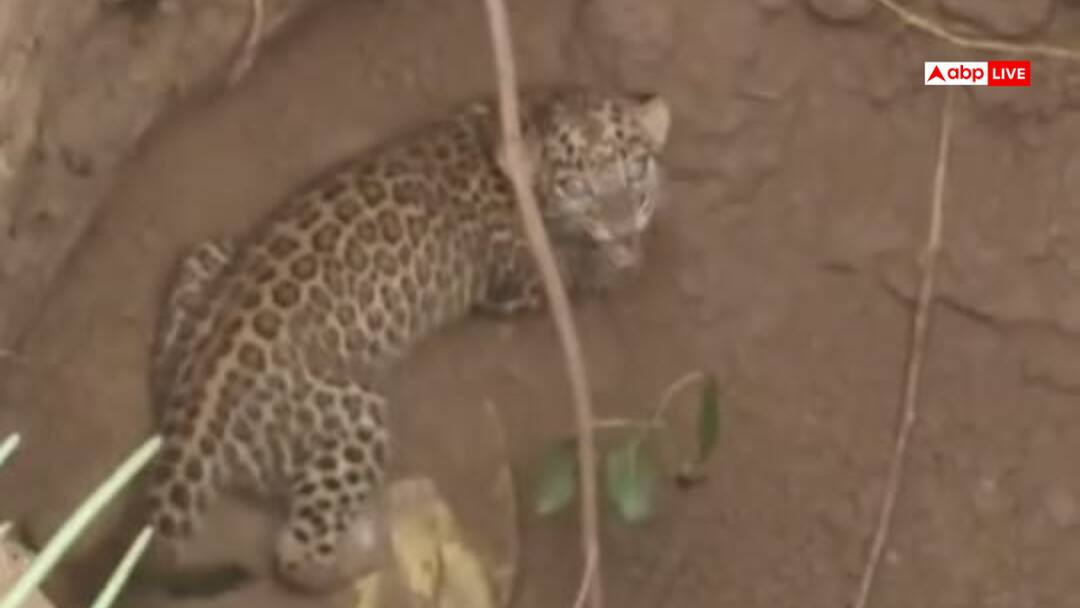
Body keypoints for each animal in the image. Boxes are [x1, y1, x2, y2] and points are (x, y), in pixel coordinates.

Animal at [144, 87, 672, 593]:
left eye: (636, 169)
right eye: (576, 186)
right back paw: (367, 559)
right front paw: (619, 261)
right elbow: (577, 270)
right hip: (357, 414)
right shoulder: (515, 285)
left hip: (206, 261)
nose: (625, 226)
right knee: (296, 553)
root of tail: (199, 399)